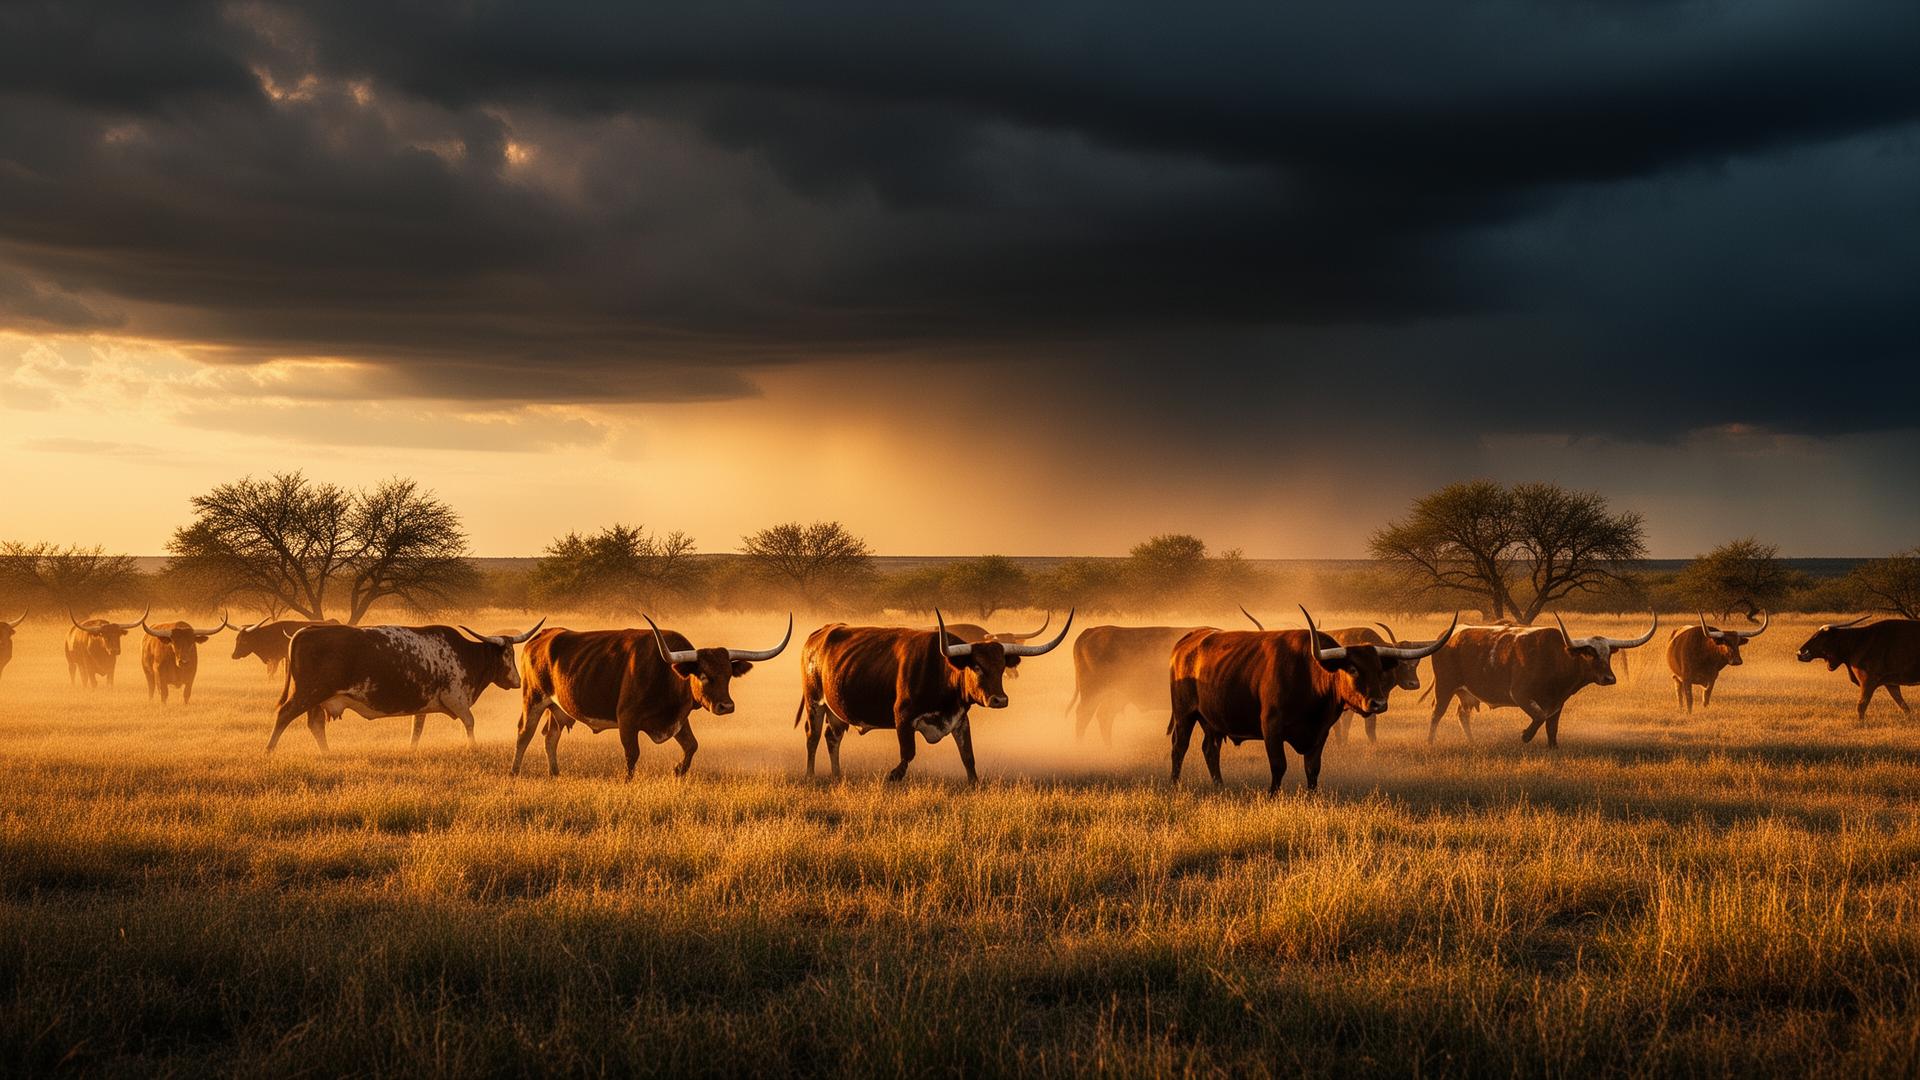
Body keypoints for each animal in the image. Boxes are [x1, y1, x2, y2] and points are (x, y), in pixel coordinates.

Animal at [267, 619, 546, 753]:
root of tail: (305, 631)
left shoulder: (423, 705)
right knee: (284, 715)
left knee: (315, 725)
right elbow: (470, 722)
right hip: (308, 693)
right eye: (507, 654)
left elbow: (417, 730)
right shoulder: (456, 698)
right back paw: (269, 750)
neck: (465, 653)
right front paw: (473, 747)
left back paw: (327, 753)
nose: (517, 681)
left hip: (316, 699)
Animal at [513, 615, 792, 780]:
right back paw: (515, 772)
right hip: (533, 699)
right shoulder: (627, 720)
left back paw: (555, 773)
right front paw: (627, 782)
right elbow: (632, 754)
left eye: (729, 675)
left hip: (557, 707)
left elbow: (692, 746)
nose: (726, 706)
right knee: (525, 733)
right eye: (703, 675)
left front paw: (678, 771)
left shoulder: (678, 719)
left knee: (551, 736)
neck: (666, 674)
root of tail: (543, 635)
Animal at [797, 609, 1073, 783]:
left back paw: (837, 775)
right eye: (976, 666)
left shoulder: (959, 719)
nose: (999, 700)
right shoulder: (903, 717)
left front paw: (974, 784)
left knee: (832, 738)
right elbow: (908, 753)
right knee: (812, 737)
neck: (941, 670)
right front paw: (892, 776)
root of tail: (820, 633)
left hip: (837, 710)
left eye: (1001, 666)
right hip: (815, 702)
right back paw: (810, 775)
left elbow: (968, 757)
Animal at [1168, 607, 1455, 792]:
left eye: (1379, 669)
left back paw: (1220, 786)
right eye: (1352, 669)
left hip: (1211, 720)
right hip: (1185, 714)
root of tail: (1189, 639)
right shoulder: (1271, 728)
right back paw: (1175, 785)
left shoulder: (1321, 731)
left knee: (1210, 750)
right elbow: (1279, 765)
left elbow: (1313, 768)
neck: (1309, 675)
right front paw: (1273, 797)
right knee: (1179, 748)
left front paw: (1311, 797)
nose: (1378, 704)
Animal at [1424, 613, 1658, 748]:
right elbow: (1539, 716)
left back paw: (1472, 743)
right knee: (1437, 713)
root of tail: (1451, 633)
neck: (1555, 658)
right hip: (1444, 686)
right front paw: (1526, 736)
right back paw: (1430, 742)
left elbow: (1551, 726)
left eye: (1608, 653)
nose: (1609, 678)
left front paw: (1553, 747)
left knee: (1462, 714)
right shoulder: (1520, 694)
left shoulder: (1557, 702)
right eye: (1590, 653)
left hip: (1466, 693)